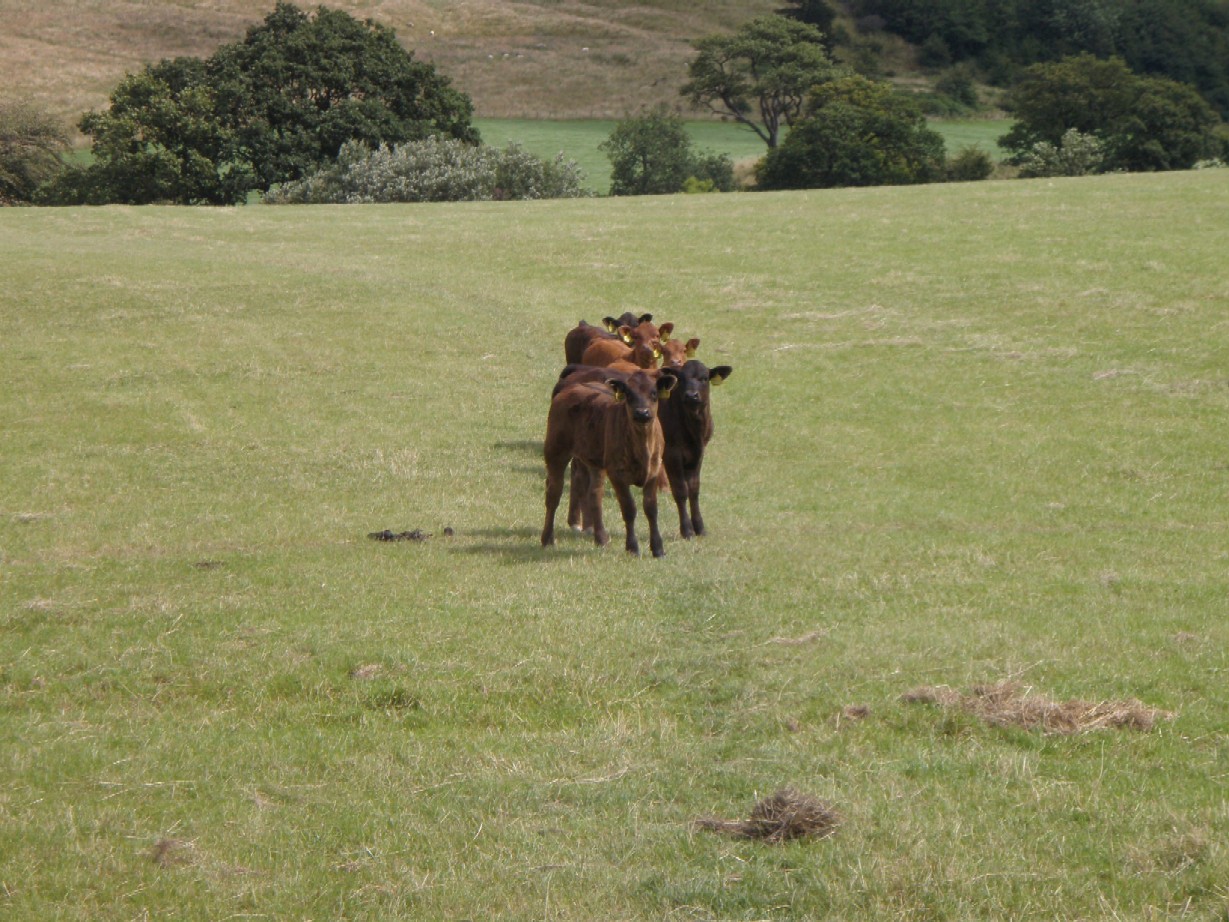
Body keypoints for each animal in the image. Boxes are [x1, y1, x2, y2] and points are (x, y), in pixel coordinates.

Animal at [543, 366, 678, 555]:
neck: (642, 446)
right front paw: (632, 547)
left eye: (654, 393)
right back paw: (547, 539)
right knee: (553, 493)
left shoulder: (654, 471)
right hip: (555, 452)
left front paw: (658, 548)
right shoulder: (617, 474)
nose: (642, 412)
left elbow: (651, 509)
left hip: (593, 462)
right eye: (628, 394)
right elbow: (629, 509)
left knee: (594, 493)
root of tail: (571, 387)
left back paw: (601, 538)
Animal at [658, 356, 732, 538]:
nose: (691, 395)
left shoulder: (699, 452)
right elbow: (680, 490)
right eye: (681, 379)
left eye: (704, 378)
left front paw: (699, 527)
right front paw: (687, 530)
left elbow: (694, 488)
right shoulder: (671, 453)